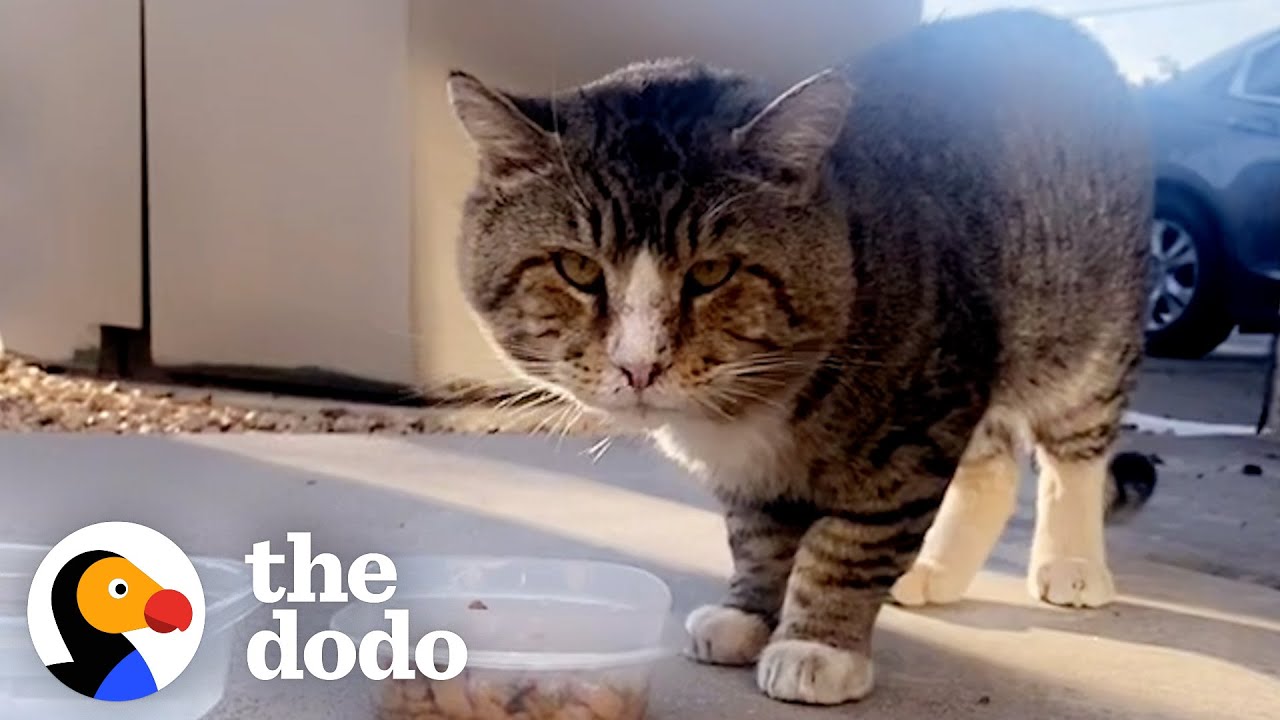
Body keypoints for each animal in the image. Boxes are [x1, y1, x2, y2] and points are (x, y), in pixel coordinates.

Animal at [450, 8, 1162, 702]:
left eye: (711, 273)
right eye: (577, 268)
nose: (639, 364)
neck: (747, 408)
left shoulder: (914, 431)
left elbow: (849, 543)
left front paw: (817, 645)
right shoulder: (760, 477)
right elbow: (759, 539)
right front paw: (749, 615)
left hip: (1082, 334)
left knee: (1075, 453)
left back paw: (1071, 563)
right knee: (992, 470)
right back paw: (936, 569)